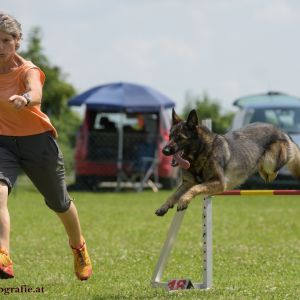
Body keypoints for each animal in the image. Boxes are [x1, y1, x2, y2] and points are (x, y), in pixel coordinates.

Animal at [156, 109, 300, 217]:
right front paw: (164, 206)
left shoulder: (219, 182)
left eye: (180, 138)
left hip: (270, 161)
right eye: (170, 137)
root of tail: (282, 131)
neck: (202, 152)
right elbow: (173, 194)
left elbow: (195, 188)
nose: (164, 150)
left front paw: (184, 200)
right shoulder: (187, 183)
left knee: (278, 166)